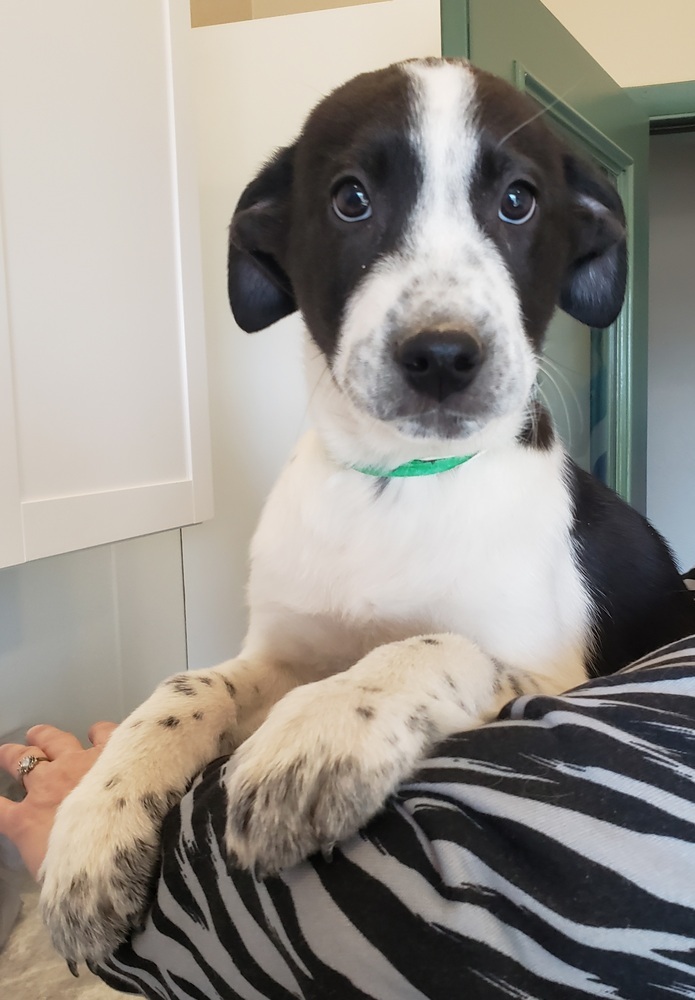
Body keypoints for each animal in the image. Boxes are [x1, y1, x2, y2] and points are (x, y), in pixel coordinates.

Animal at [39, 58, 695, 964]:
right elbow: (185, 684)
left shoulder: (548, 674)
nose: (443, 355)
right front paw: (92, 825)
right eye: (350, 199)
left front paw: (319, 735)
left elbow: (433, 644)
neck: (395, 481)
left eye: (518, 201)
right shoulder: (280, 651)